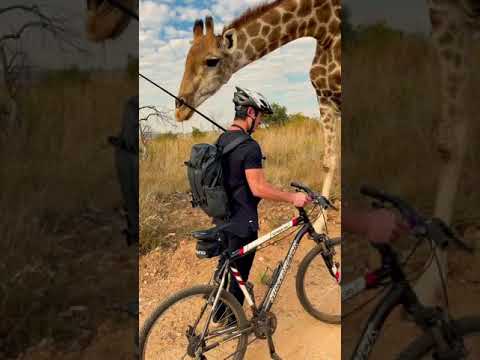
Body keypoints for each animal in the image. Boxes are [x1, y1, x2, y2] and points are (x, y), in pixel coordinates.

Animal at [175, 0, 342, 231]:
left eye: (211, 61)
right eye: (186, 60)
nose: (179, 108)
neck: (323, 27)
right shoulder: (324, 97)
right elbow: (329, 161)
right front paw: (319, 224)